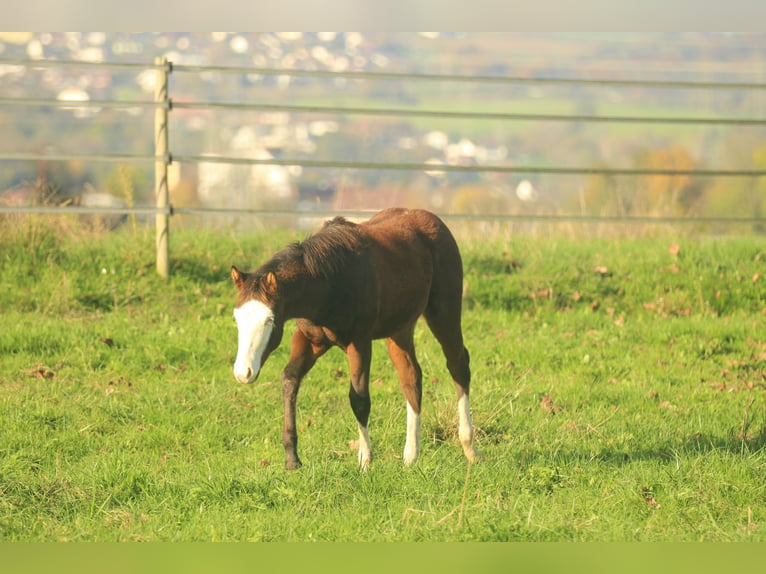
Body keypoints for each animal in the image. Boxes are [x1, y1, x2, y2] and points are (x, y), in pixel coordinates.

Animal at [231, 209, 480, 470]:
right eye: (237, 318)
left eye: (269, 320)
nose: (243, 373)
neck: (329, 281)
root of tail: (432, 219)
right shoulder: (309, 340)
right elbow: (289, 380)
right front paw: (292, 459)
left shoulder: (359, 342)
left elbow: (359, 398)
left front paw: (365, 460)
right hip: (400, 329)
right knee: (411, 376)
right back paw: (411, 455)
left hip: (444, 313)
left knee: (458, 366)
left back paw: (469, 447)